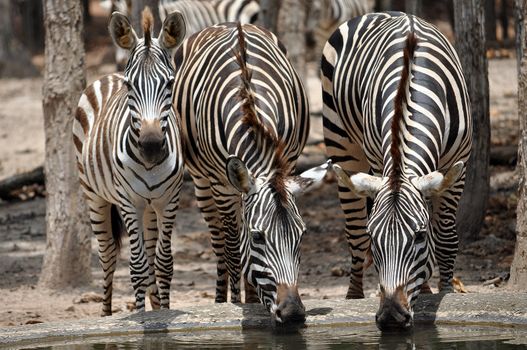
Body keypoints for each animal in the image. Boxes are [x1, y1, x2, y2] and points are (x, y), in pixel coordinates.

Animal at [72, 7, 187, 314]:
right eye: (130, 86)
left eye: (170, 83)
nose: (151, 146)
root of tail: (108, 75)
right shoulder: (128, 202)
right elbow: (136, 267)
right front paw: (140, 316)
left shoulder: (169, 201)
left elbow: (163, 263)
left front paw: (163, 312)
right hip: (94, 196)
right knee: (108, 254)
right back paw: (106, 314)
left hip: (149, 207)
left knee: (149, 256)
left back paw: (156, 305)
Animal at [175, 22, 328, 326]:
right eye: (258, 237)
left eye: (302, 235)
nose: (293, 314)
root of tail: (231, 24)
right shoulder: (221, 186)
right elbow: (235, 249)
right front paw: (237, 302)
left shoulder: (287, 163)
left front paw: (253, 300)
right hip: (202, 184)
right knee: (219, 243)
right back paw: (222, 299)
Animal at [322, 13, 474, 330]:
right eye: (376, 237)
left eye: (419, 237)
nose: (391, 317)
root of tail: (378, 13)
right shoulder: (379, 162)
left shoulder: (458, 165)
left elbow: (445, 238)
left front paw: (446, 291)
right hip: (341, 143)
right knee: (354, 231)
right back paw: (354, 296)